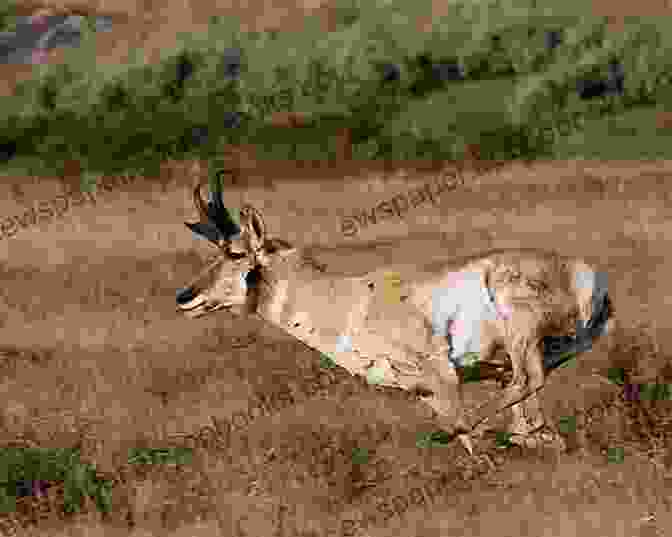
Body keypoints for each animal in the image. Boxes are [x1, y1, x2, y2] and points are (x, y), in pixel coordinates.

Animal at [177, 171, 616, 452]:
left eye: (235, 253)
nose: (184, 296)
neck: (348, 300)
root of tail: (586, 274)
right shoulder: (420, 389)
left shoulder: (440, 375)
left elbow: (463, 431)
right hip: (530, 353)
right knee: (526, 399)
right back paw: (532, 437)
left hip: (519, 330)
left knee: (527, 380)